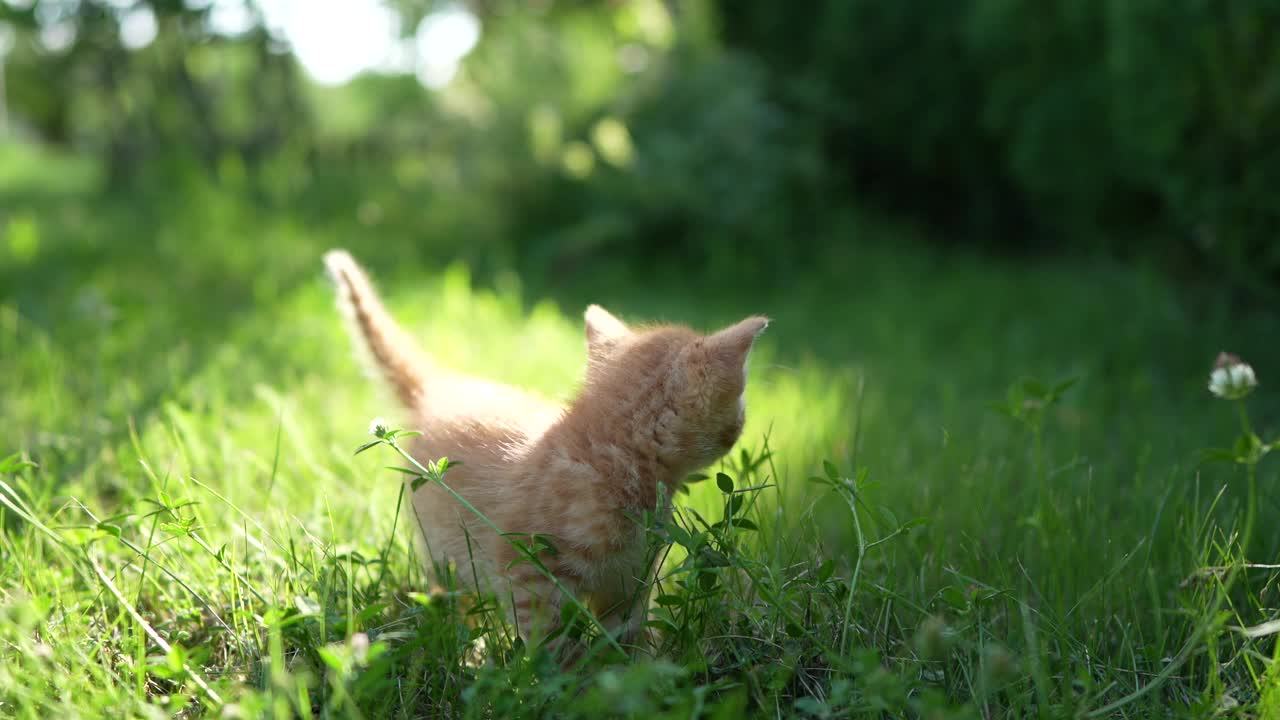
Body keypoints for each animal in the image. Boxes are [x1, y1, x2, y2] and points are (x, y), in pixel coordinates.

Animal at [320, 249, 762, 648]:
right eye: (740, 403)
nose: (743, 423)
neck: (614, 460)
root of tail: (441, 387)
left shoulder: (628, 579)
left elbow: (628, 636)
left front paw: (640, 669)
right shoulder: (529, 574)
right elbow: (553, 647)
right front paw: (567, 677)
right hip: (444, 551)